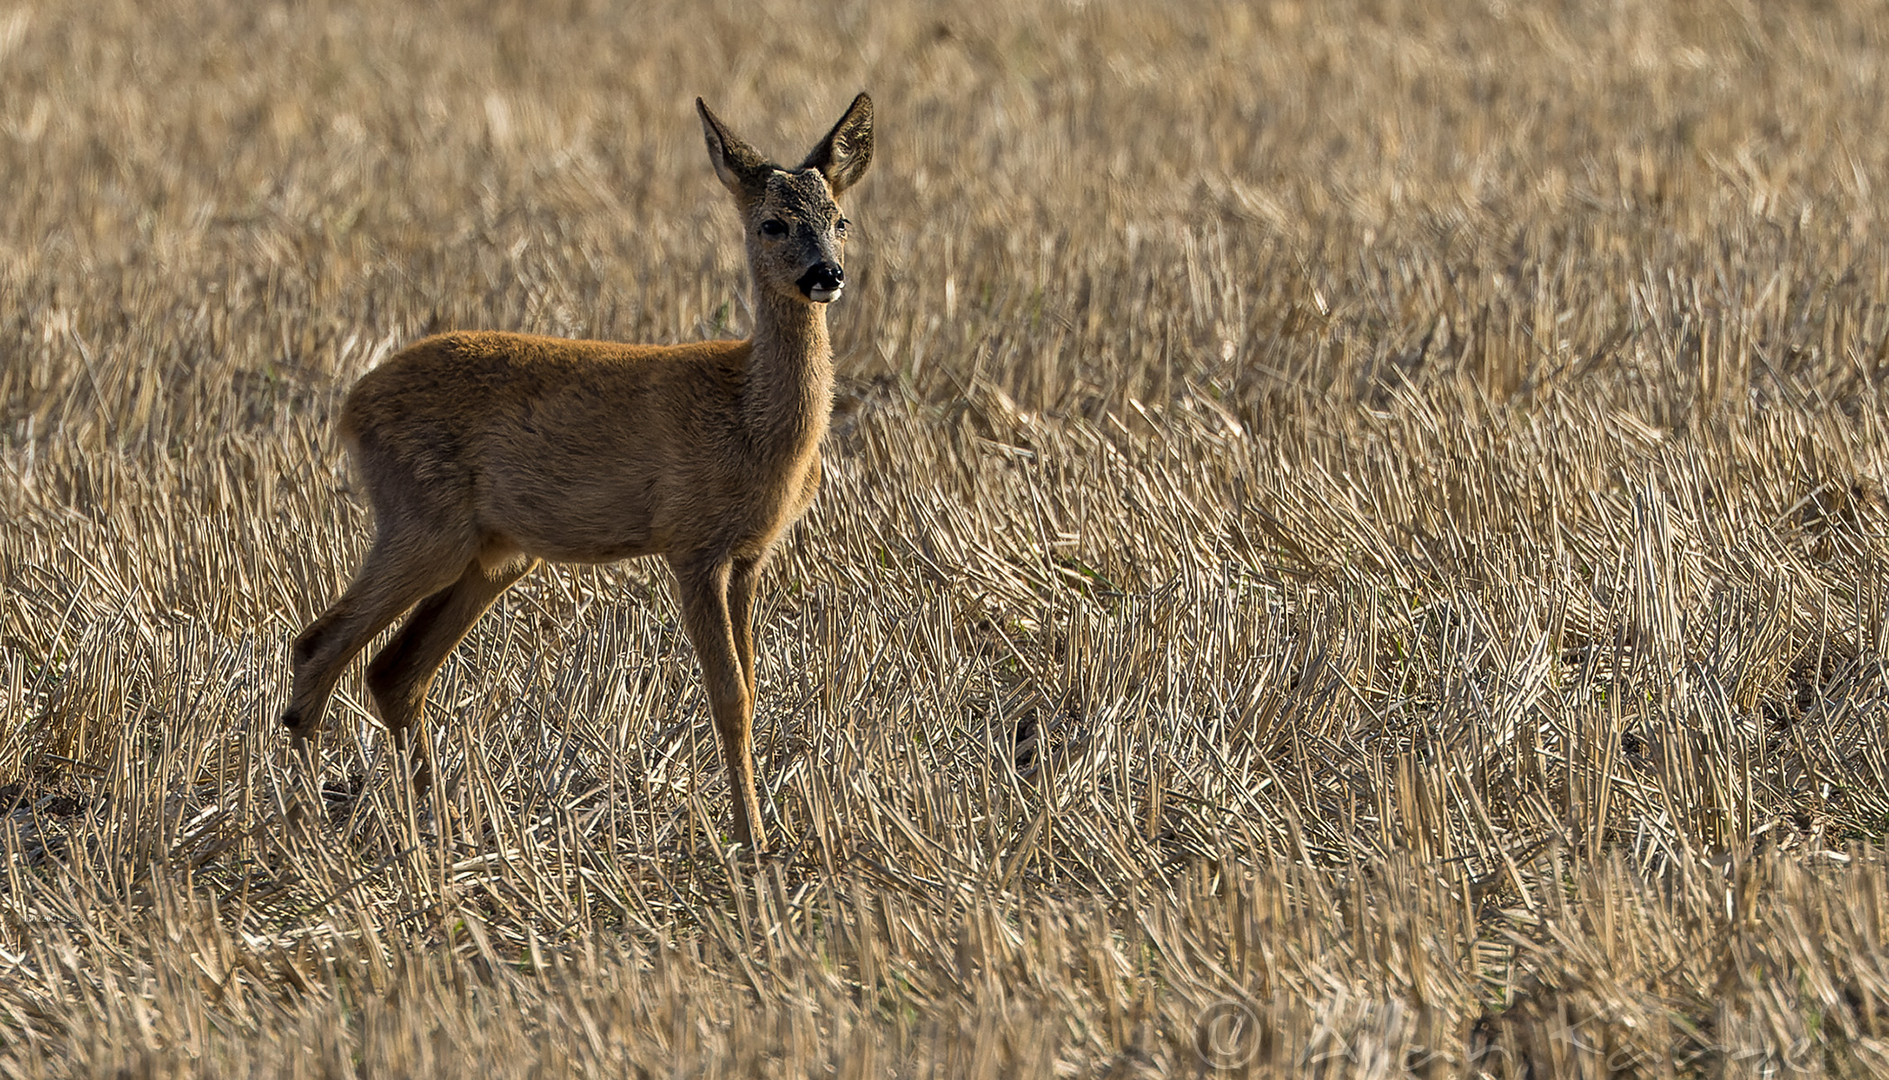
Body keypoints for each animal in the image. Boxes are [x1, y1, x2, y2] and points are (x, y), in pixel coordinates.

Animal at [281, 92, 876, 853]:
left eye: (840, 220)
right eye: (772, 223)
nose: (825, 275)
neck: (751, 415)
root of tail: (353, 406)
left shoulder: (748, 555)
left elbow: (751, 686)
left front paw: (768, 830)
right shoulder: (691, 542)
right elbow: (729, 697)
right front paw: (752, 844)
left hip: (493, 555)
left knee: (393, 672)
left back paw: (445, 829)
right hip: (423, 524)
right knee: (318, 645)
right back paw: (306, 830)